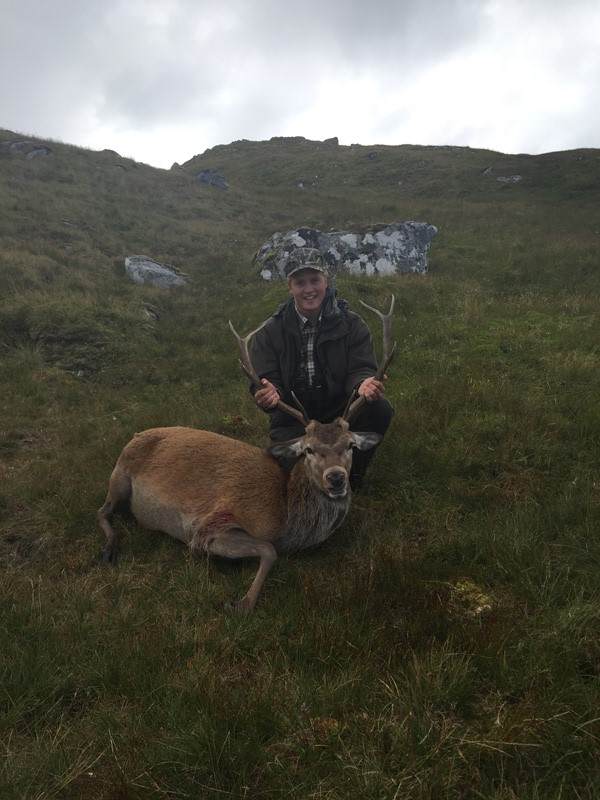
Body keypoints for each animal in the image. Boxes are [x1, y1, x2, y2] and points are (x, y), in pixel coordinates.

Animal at [99, 296, 394, 608]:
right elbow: (268, 550)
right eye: (308, 450)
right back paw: (109, 548)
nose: (336, 478)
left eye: (350, 445)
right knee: (102, 510)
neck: (286, 520)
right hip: (119, 476)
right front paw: (241, 604)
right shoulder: (211, 524)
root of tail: (135, 435)